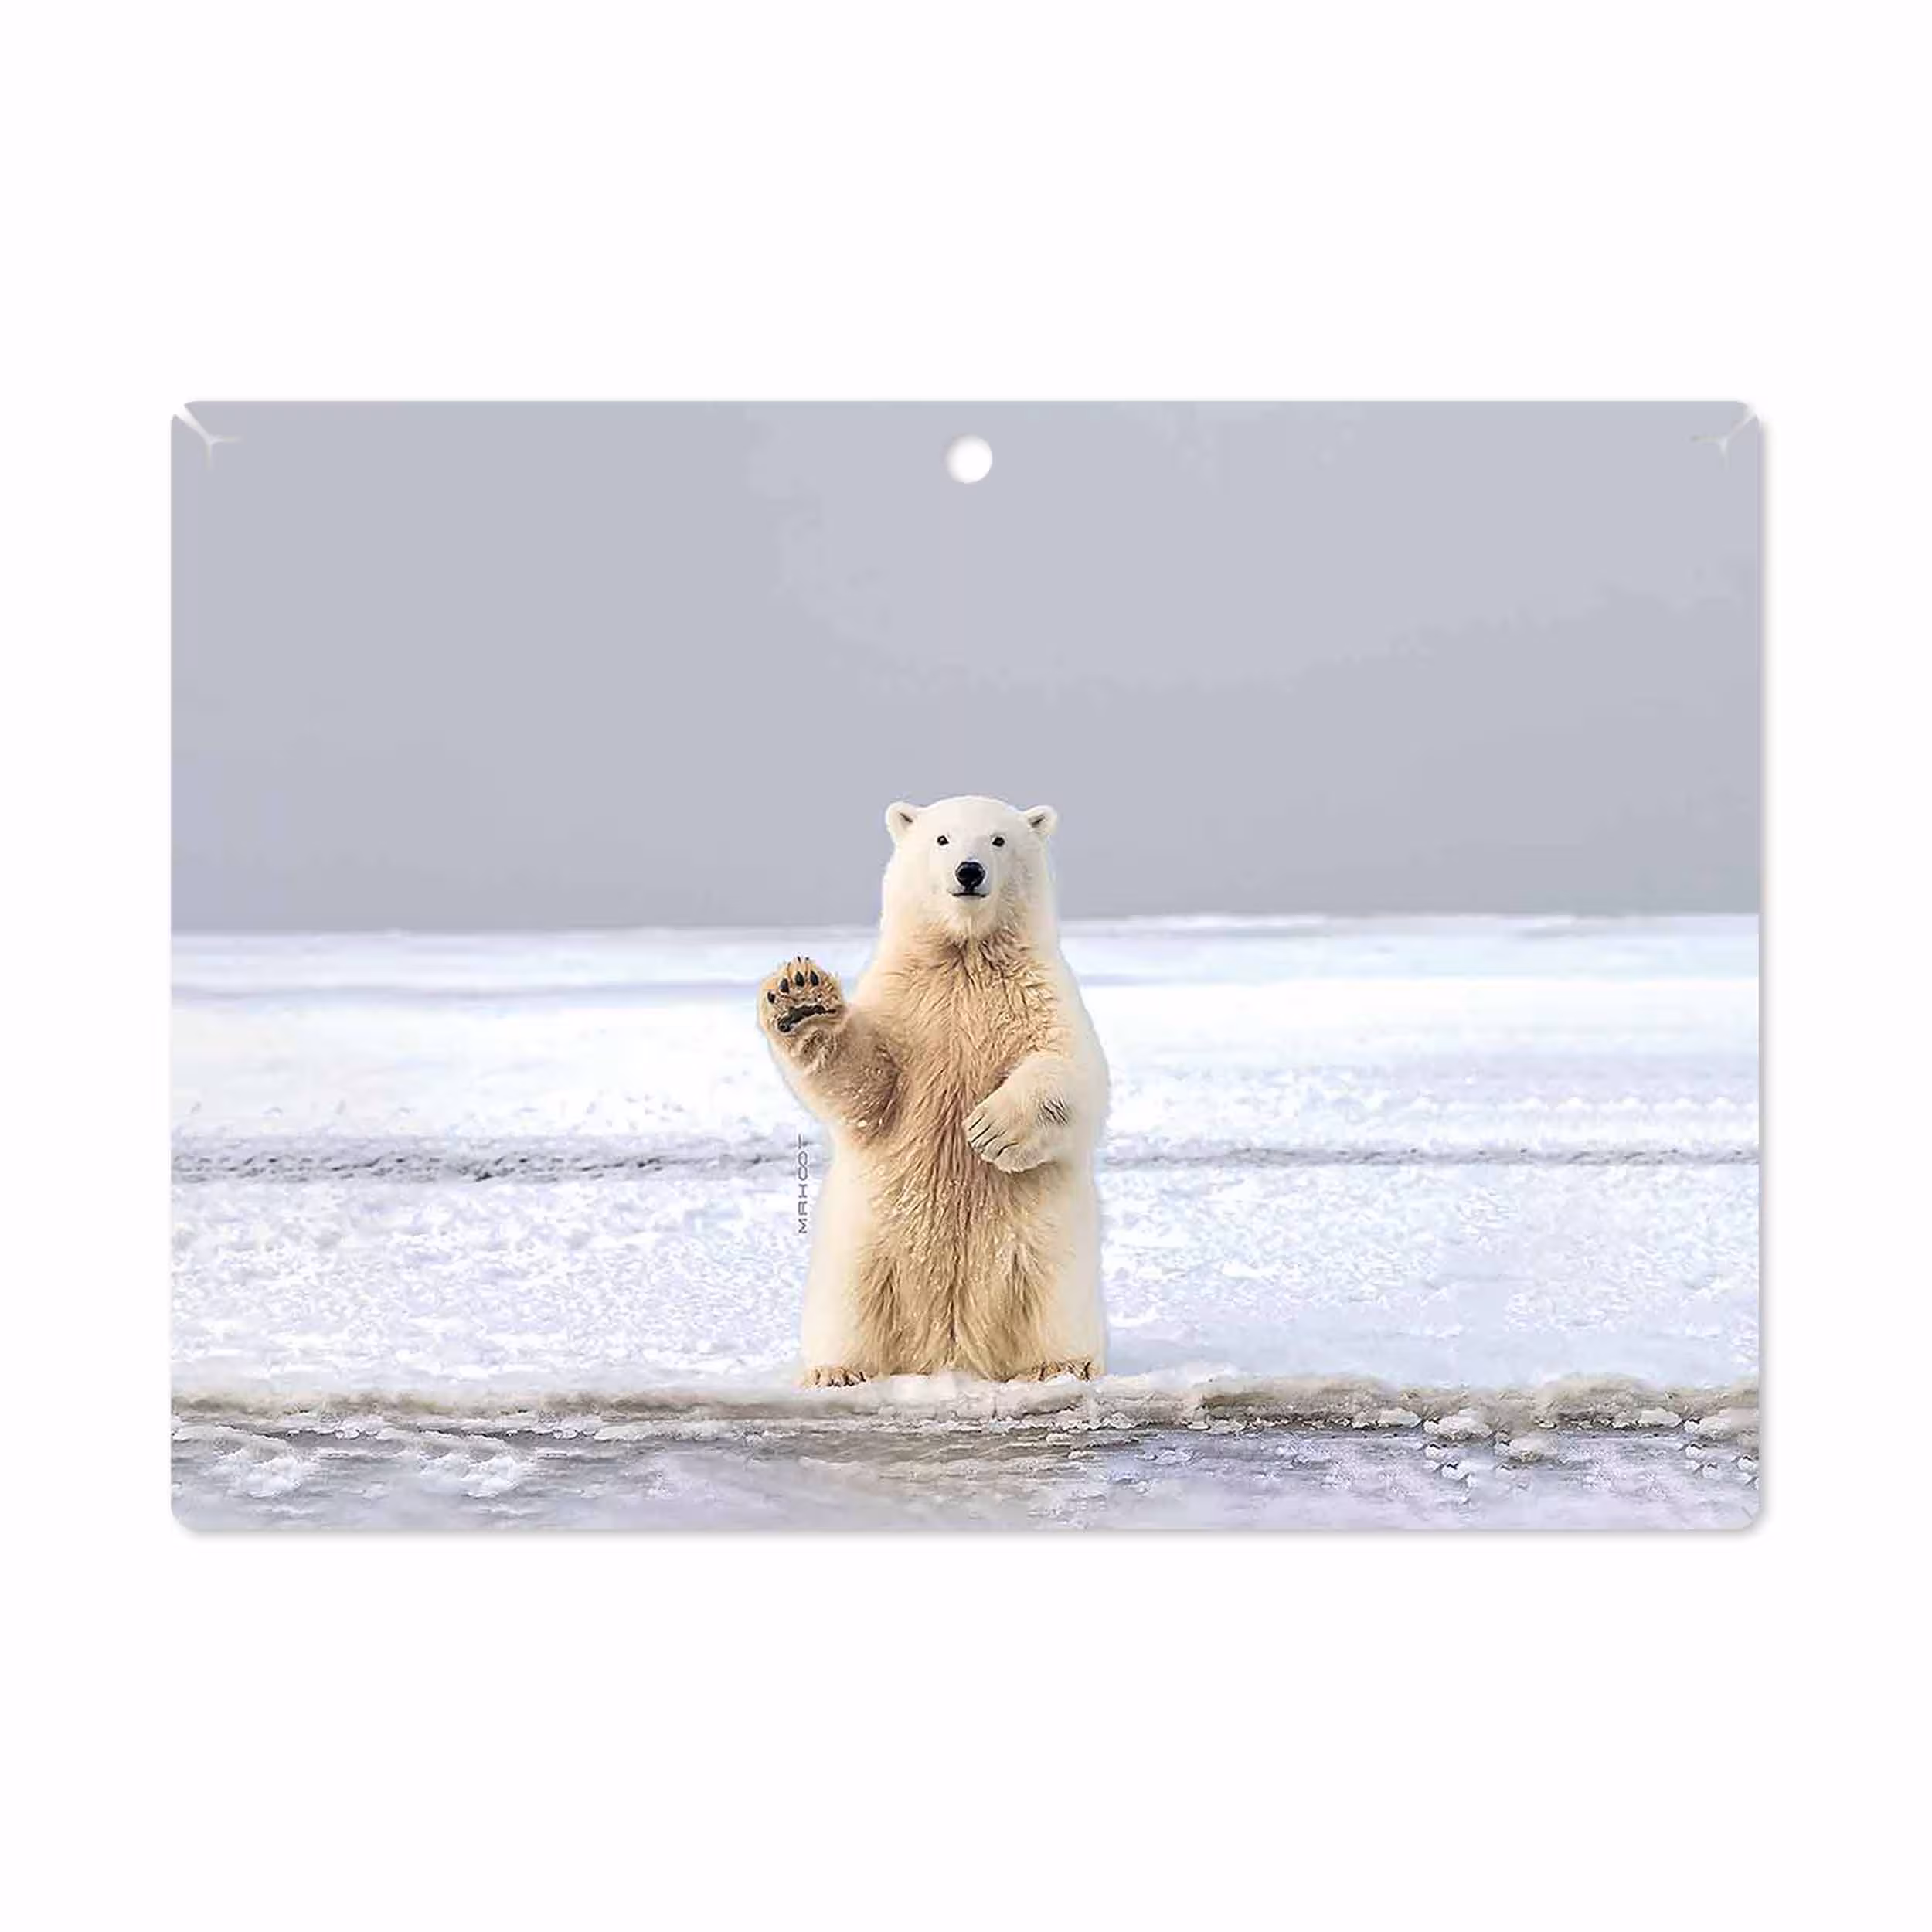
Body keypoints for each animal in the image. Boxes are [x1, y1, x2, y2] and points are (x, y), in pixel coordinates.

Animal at [758, 795, 1109, 1386]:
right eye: (942, 839)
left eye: (998, 840)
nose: (969, 872)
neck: (964, 956)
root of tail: (950, 1351)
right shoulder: (905, 1003)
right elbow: (868, 1084)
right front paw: (800, 999)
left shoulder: (1040, 994)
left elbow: (1073, 1071)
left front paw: (990, 1129)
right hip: (863, 1247)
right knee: (848, 1306)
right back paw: (837, 1371)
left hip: (1049, 1249)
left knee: (1054, 1298)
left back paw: (1061, 1366)